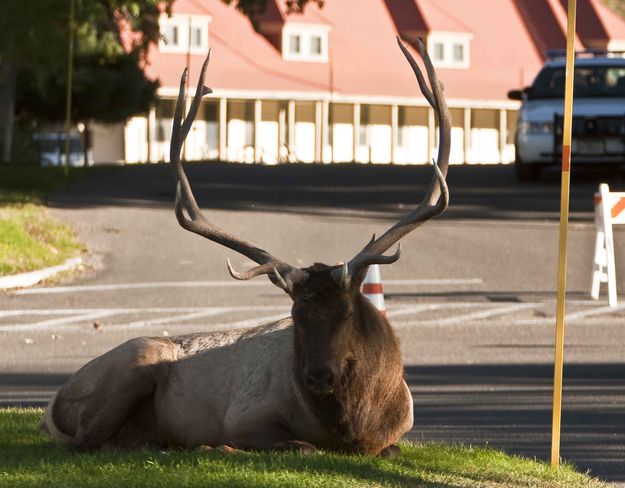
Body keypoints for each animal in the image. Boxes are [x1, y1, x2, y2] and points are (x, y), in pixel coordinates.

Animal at [42, 36, 448, 456]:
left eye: (347, 312)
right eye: (296, 316)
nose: (318, 376)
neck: (357, 427)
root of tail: (53, 403)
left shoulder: (398, 430)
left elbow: (390, 448)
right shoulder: (245, 416)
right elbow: (300, 445)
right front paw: (217, 446)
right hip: (134, 362)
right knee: (86, 441)